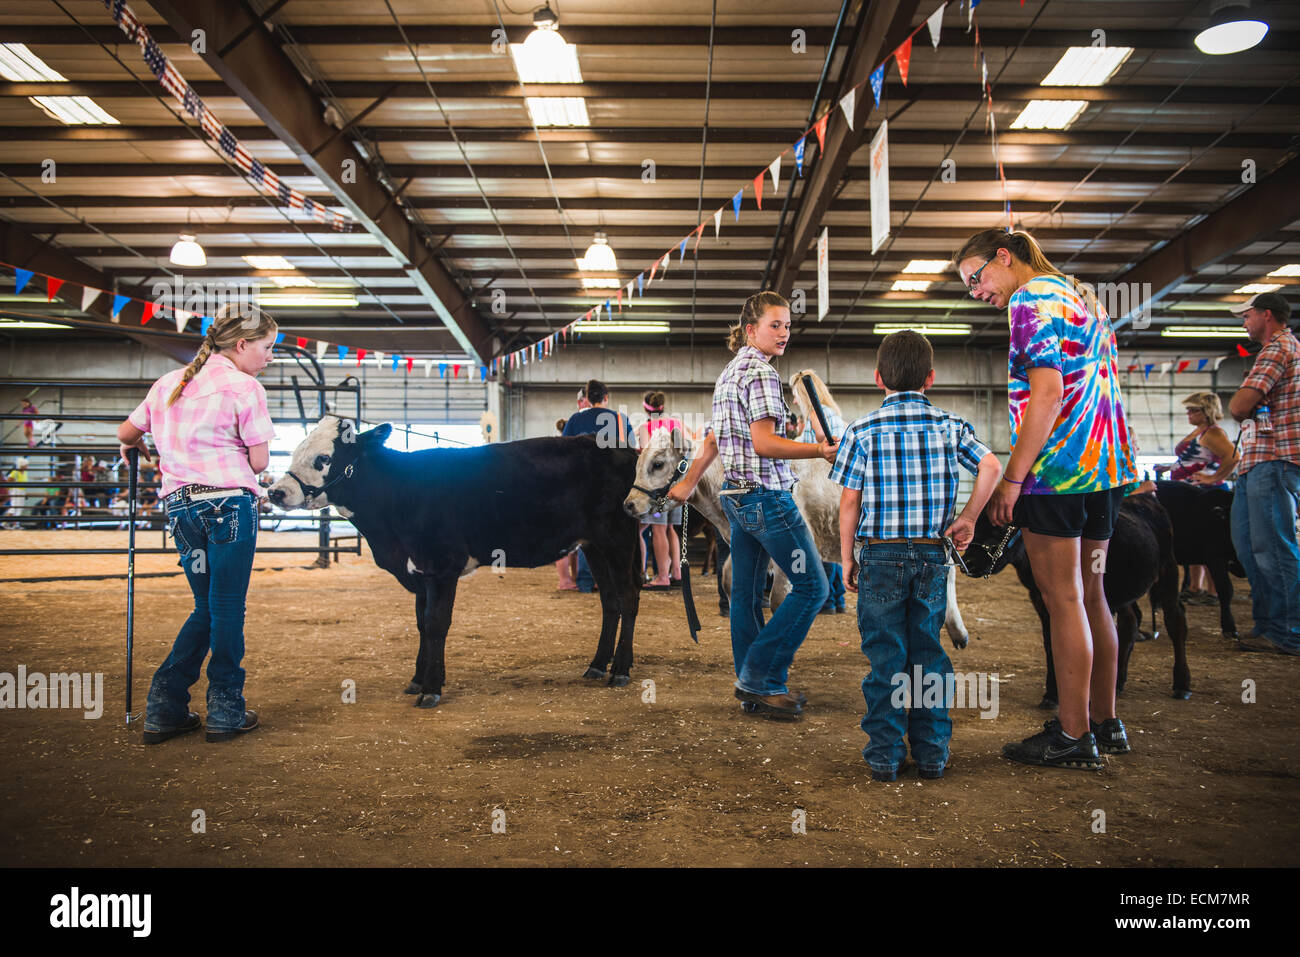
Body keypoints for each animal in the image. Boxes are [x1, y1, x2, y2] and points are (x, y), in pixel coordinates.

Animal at [267, 416, 644, 707]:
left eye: (322, 458)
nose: (275, 492)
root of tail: (624, 450)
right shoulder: (419, 571)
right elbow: (421, 624)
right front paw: (419, 679)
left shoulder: (441, 566)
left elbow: (436, 624)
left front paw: (431, 690)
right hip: (592, 545)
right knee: (609, 600)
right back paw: (597, 665)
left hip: (618, 536)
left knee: (627, 596)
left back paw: (620, 670)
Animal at [624, 429, 972, 647]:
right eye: (638, 463)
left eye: (658, 464)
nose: (629, 504)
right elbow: (730, 579)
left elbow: (780, 597)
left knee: (948, 574)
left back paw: (956, 631)